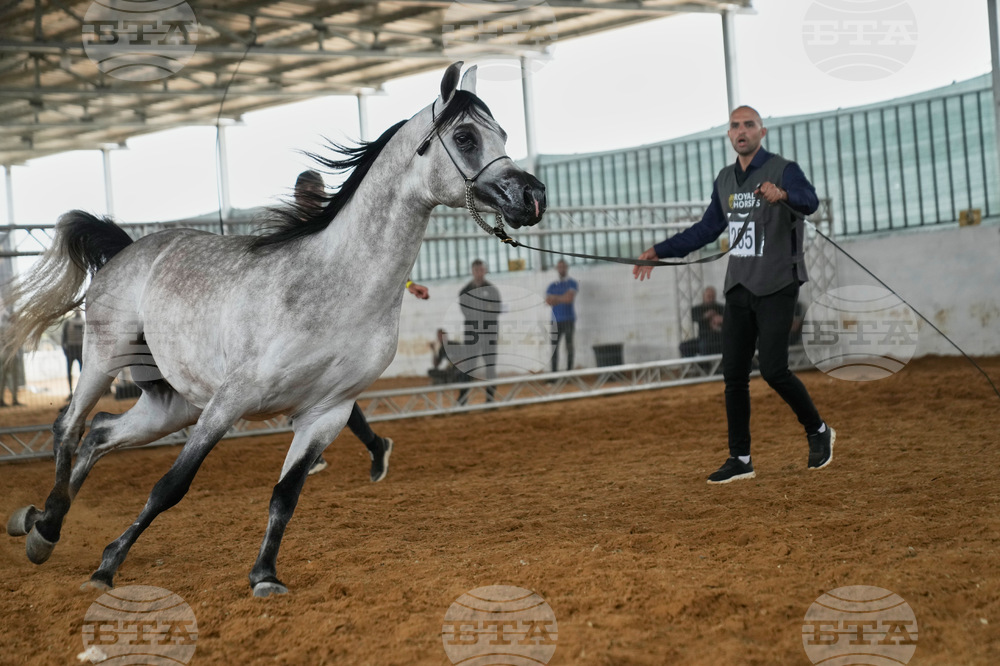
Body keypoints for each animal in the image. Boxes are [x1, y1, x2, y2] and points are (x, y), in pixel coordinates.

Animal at [1, 62, 546, 598]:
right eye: (466, 136)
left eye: (502, 133)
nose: (532, 195)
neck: (335, 285)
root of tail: (128, 250)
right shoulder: (232, 399)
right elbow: (171, 486)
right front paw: (107, 566)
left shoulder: (326, 413)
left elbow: (285, 495)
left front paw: (264, 576)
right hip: (105, 356)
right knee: (69, 427)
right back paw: (43, 532)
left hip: (173, 404)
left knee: (99, 434)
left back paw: (43, 522)